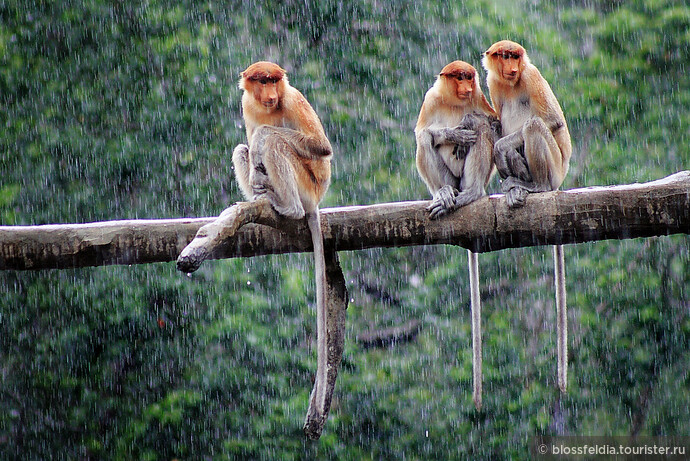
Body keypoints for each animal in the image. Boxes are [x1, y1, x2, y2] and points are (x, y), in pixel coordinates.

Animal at [231, 60, 334, 432]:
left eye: (275, 81)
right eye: (262, 82)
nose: (271, 93)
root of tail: (315, 201)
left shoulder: (292, 99)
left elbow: (318, 145)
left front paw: (264, 138)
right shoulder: (247, 104)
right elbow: (249, 139)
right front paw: (256, 173)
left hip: (308, 185)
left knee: (276, 142)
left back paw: (286, 206)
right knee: (242, 149)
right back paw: (259, 194)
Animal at [478, 40, 568, 392]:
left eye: (516, 56)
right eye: (505, 56)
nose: (512, 66)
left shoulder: (531, 76)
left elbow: (552, 122)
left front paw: (502, 150)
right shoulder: (493, 84)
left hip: (554, 167)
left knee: (534, 126)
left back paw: (534, 186)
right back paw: (515, 185)